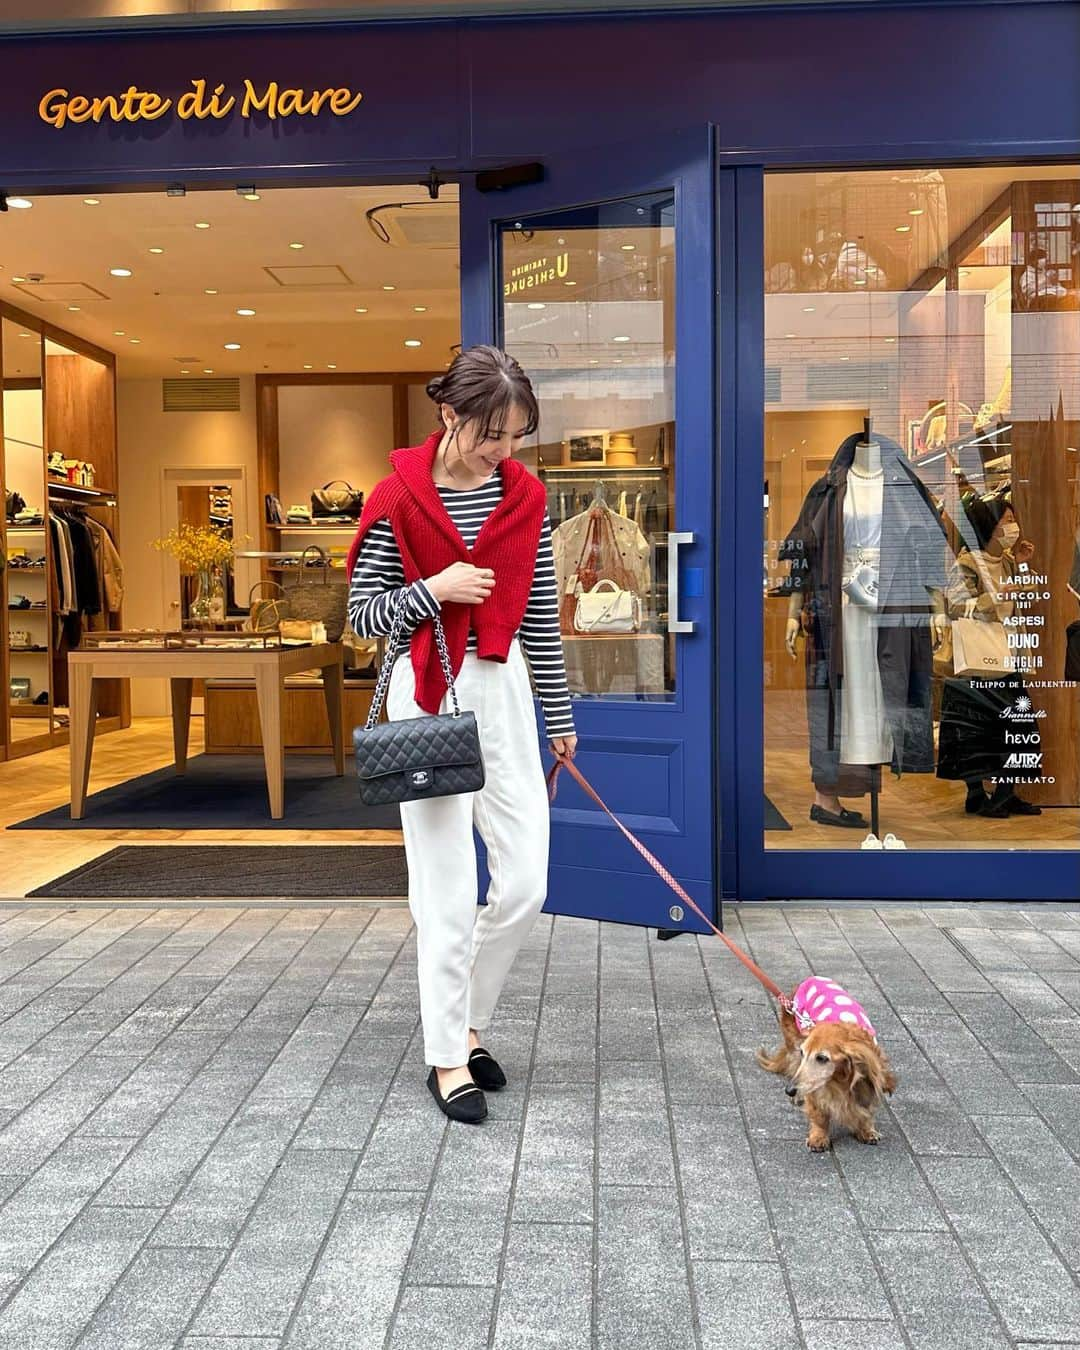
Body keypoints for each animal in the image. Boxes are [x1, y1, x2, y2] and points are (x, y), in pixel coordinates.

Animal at [756, 977, 896, 1155]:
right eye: (804, 1053)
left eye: (822, 1058)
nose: (789, 1090)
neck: (838, 1081)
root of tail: (811, 979)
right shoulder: (815, 1085)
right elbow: (819, 1115)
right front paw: (818, 1137)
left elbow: (866, 1108)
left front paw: (866, 1129)